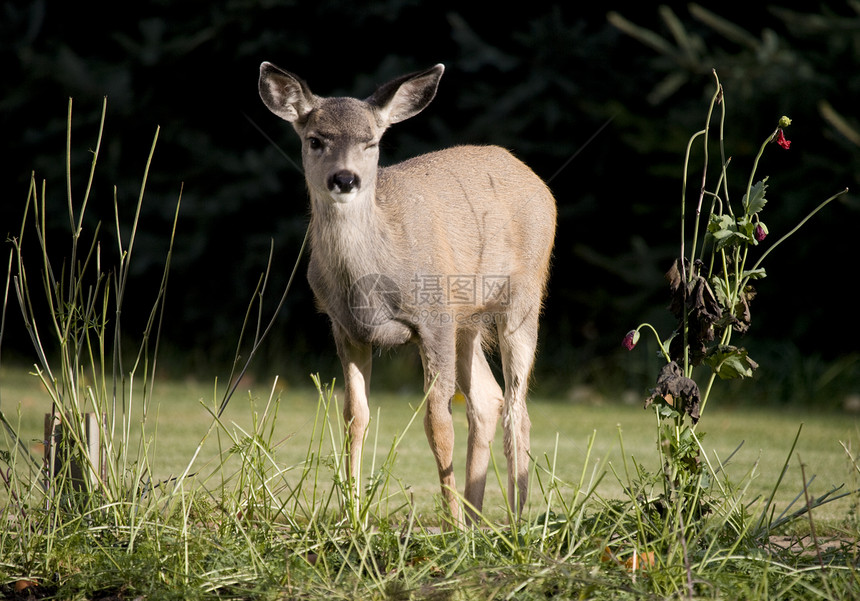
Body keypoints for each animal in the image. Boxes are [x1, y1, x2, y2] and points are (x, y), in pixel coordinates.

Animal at [258, 61, 556, 524]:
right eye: (315, 140)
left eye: (372, 141)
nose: (345, 179)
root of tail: (535, 180)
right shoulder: (346, 330)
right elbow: (355, 416)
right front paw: (353, 516)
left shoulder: (433, 320)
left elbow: (437, 423)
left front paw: (452, 526)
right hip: (467, 320)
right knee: (488, 398)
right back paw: (477, 517)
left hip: (524, 296)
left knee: (517, 408)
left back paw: (513, 520)